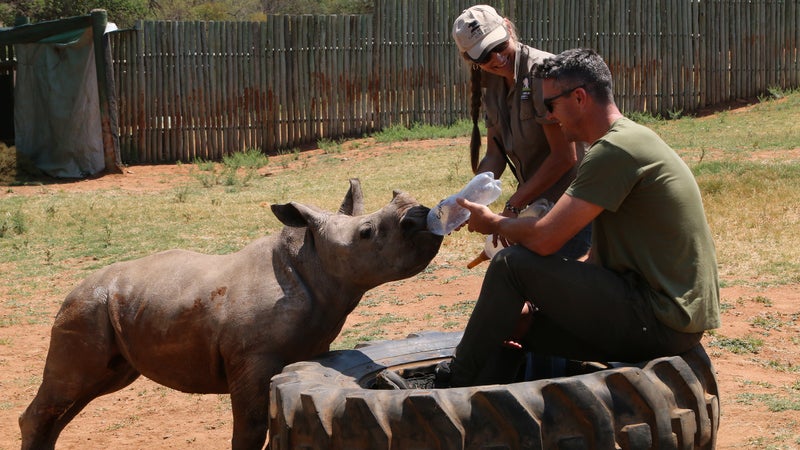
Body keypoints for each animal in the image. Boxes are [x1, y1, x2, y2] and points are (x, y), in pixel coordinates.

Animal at [18, 180, 444, 450]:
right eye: (366, 233)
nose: (422, 215)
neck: (313, 259)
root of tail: (70, 290)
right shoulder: (252, 358)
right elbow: (251, 429)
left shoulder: (313, 347)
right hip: (85, 308)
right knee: (69, 387)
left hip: (107, 310)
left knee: (82, 393)